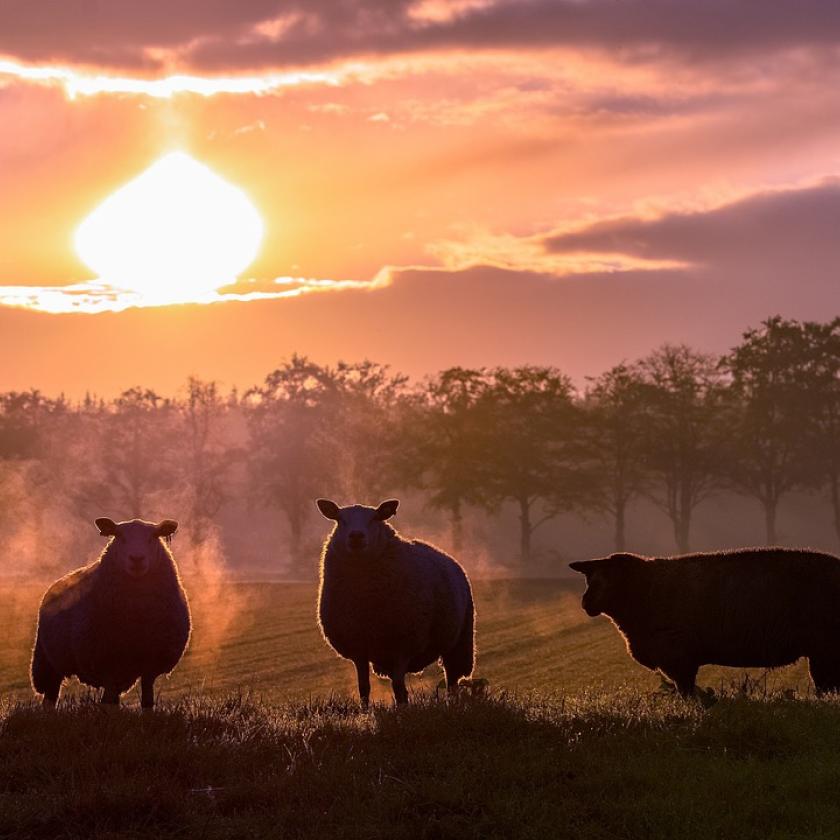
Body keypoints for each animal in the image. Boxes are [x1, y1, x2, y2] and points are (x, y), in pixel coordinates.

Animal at [32, 520, 191, 708]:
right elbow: (109, 703)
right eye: (120, 537)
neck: (136, 616)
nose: (137, 559)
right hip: (48, 661)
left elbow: (147, 701)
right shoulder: (106, 663)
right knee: (50, 696)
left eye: (153, 537)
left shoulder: (150, 664)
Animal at [316, 498, 476, 708]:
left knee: (452, 679)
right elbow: (364, 688)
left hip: (459, 641)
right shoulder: (359, 646)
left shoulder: (401, 644)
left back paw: (452, 703)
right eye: (340, 519)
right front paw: (365, 712)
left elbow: (399, 688)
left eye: (375, 518)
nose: (356, 536)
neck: (365, 601)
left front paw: (402, 710)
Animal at [572, 544, 840, 696]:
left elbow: (686, 691)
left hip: (825, 647)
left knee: (826, 684)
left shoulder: (678, 656)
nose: (585, 603)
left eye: (608, 579)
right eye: (589, 579)